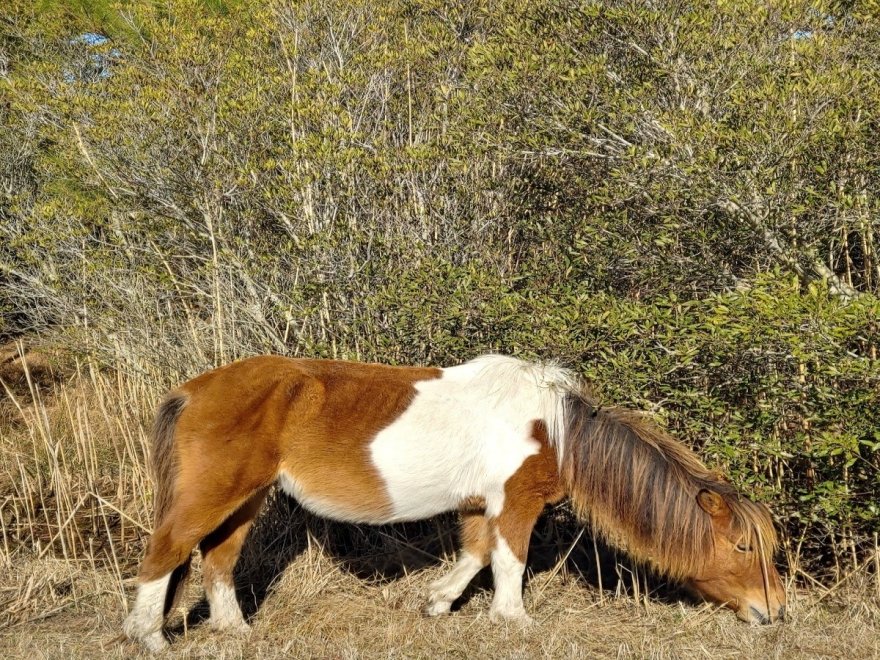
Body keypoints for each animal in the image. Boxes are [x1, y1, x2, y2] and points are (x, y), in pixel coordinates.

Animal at [122, 356, 784, 648]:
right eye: (743, 546)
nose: (773, 611)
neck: (553, 428)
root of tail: (193, 390)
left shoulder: (476, 503)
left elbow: (476, 555)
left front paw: (437, 602)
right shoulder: (516, 502)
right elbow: (510, 560)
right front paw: (514, 619)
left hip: (247, 500)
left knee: (218, 559)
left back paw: (236, 630)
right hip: (212, 496)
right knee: (165, 555)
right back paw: (148, 638)